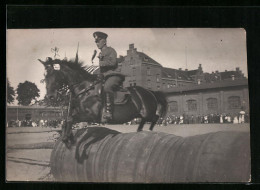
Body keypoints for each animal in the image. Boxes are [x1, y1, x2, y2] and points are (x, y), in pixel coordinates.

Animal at [38, 57, 169, 145]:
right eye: (45, 77)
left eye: (54, 74)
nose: (50, 97)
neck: (85, 89)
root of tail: (150, 92)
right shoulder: (78, 112)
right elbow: (66, 120)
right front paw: (68, 136)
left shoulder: (90, 116)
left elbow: (70, 119)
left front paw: (66, 138)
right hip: (142, 114)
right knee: (146, 120)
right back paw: (140, 131)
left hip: (148, 112)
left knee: (155, 118)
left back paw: (148, 131)